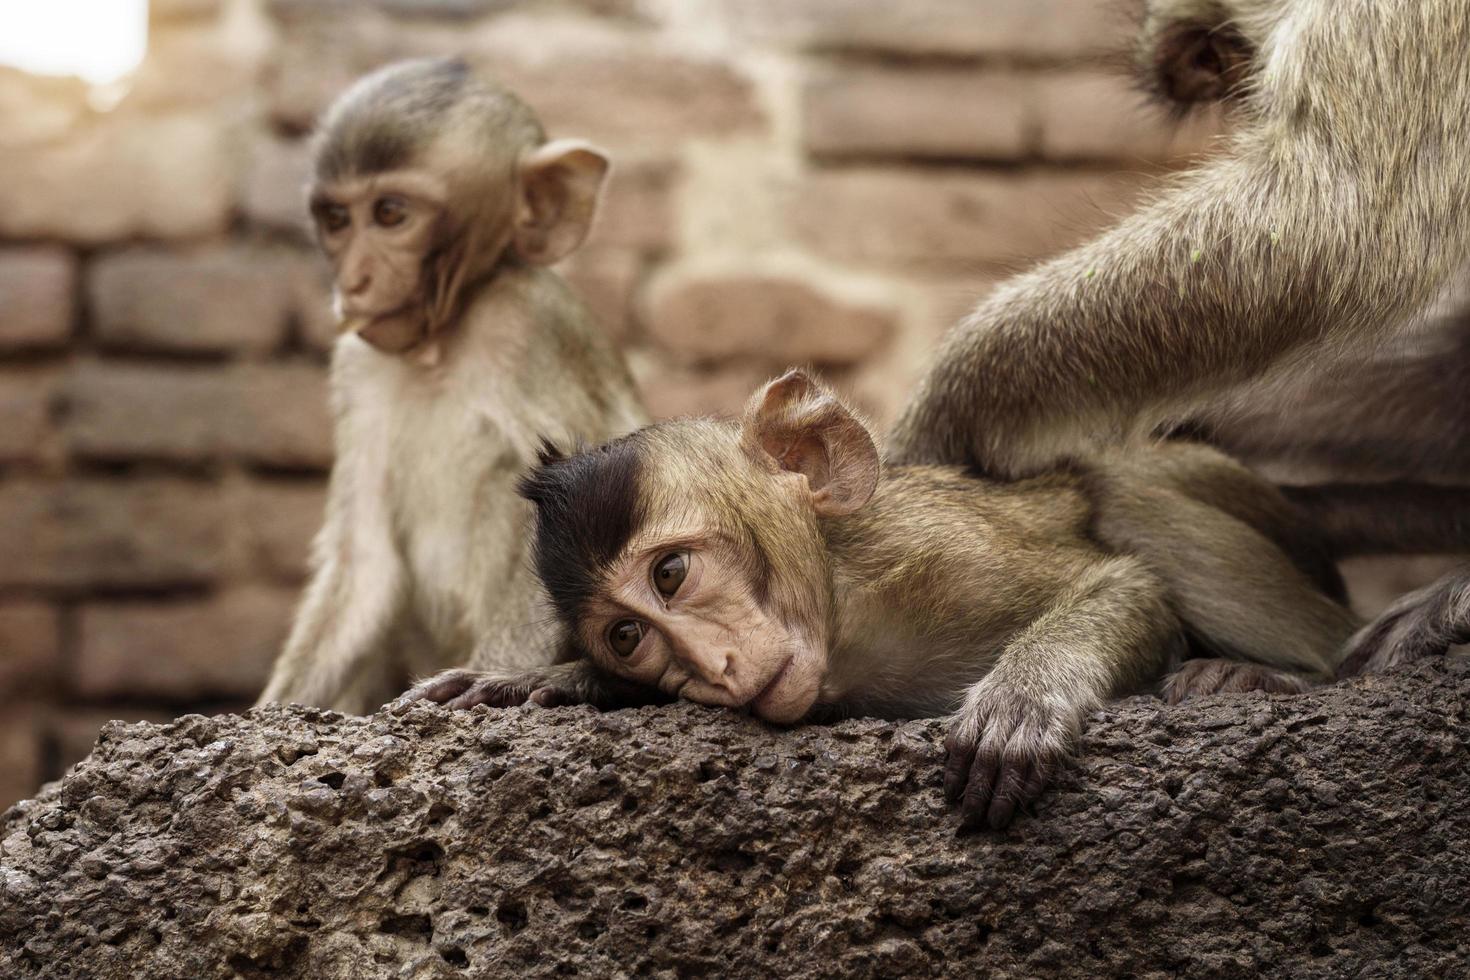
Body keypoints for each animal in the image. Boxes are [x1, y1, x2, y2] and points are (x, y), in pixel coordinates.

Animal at [405, 371, 1352, 834]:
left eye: (670, 574)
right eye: (629, 638)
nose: (712, 667)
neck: (844, 612)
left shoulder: (939, 558)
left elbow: (1120, 584)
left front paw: (1023, 698)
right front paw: (549, 682)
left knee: (1118, 485)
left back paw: (1282, 674)